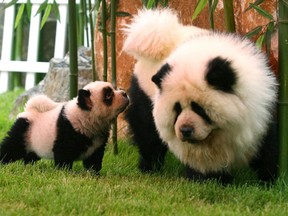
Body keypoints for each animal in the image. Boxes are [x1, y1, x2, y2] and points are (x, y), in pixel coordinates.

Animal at [0, 81, 129, 172]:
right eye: (108, 95)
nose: (125, 93)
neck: (84, 116)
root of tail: (30, 110)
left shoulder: (98, 142)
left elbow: (94, 159)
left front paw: (94, 173)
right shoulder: (68, 130)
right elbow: (64, 155)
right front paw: (65, 172)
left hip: (34, 140)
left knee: (31, 155)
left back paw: (28, 166)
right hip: (24, 130)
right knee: (11, 147)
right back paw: (3, 162)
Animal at [123, 9, 276, 183]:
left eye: (199, 109)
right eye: (177, 109)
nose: (186, 130)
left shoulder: (263, 108)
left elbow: (268, 147)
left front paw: (268, 180)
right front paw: (211, 179)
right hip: (144, 92)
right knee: (147, 135)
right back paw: (149, 168)